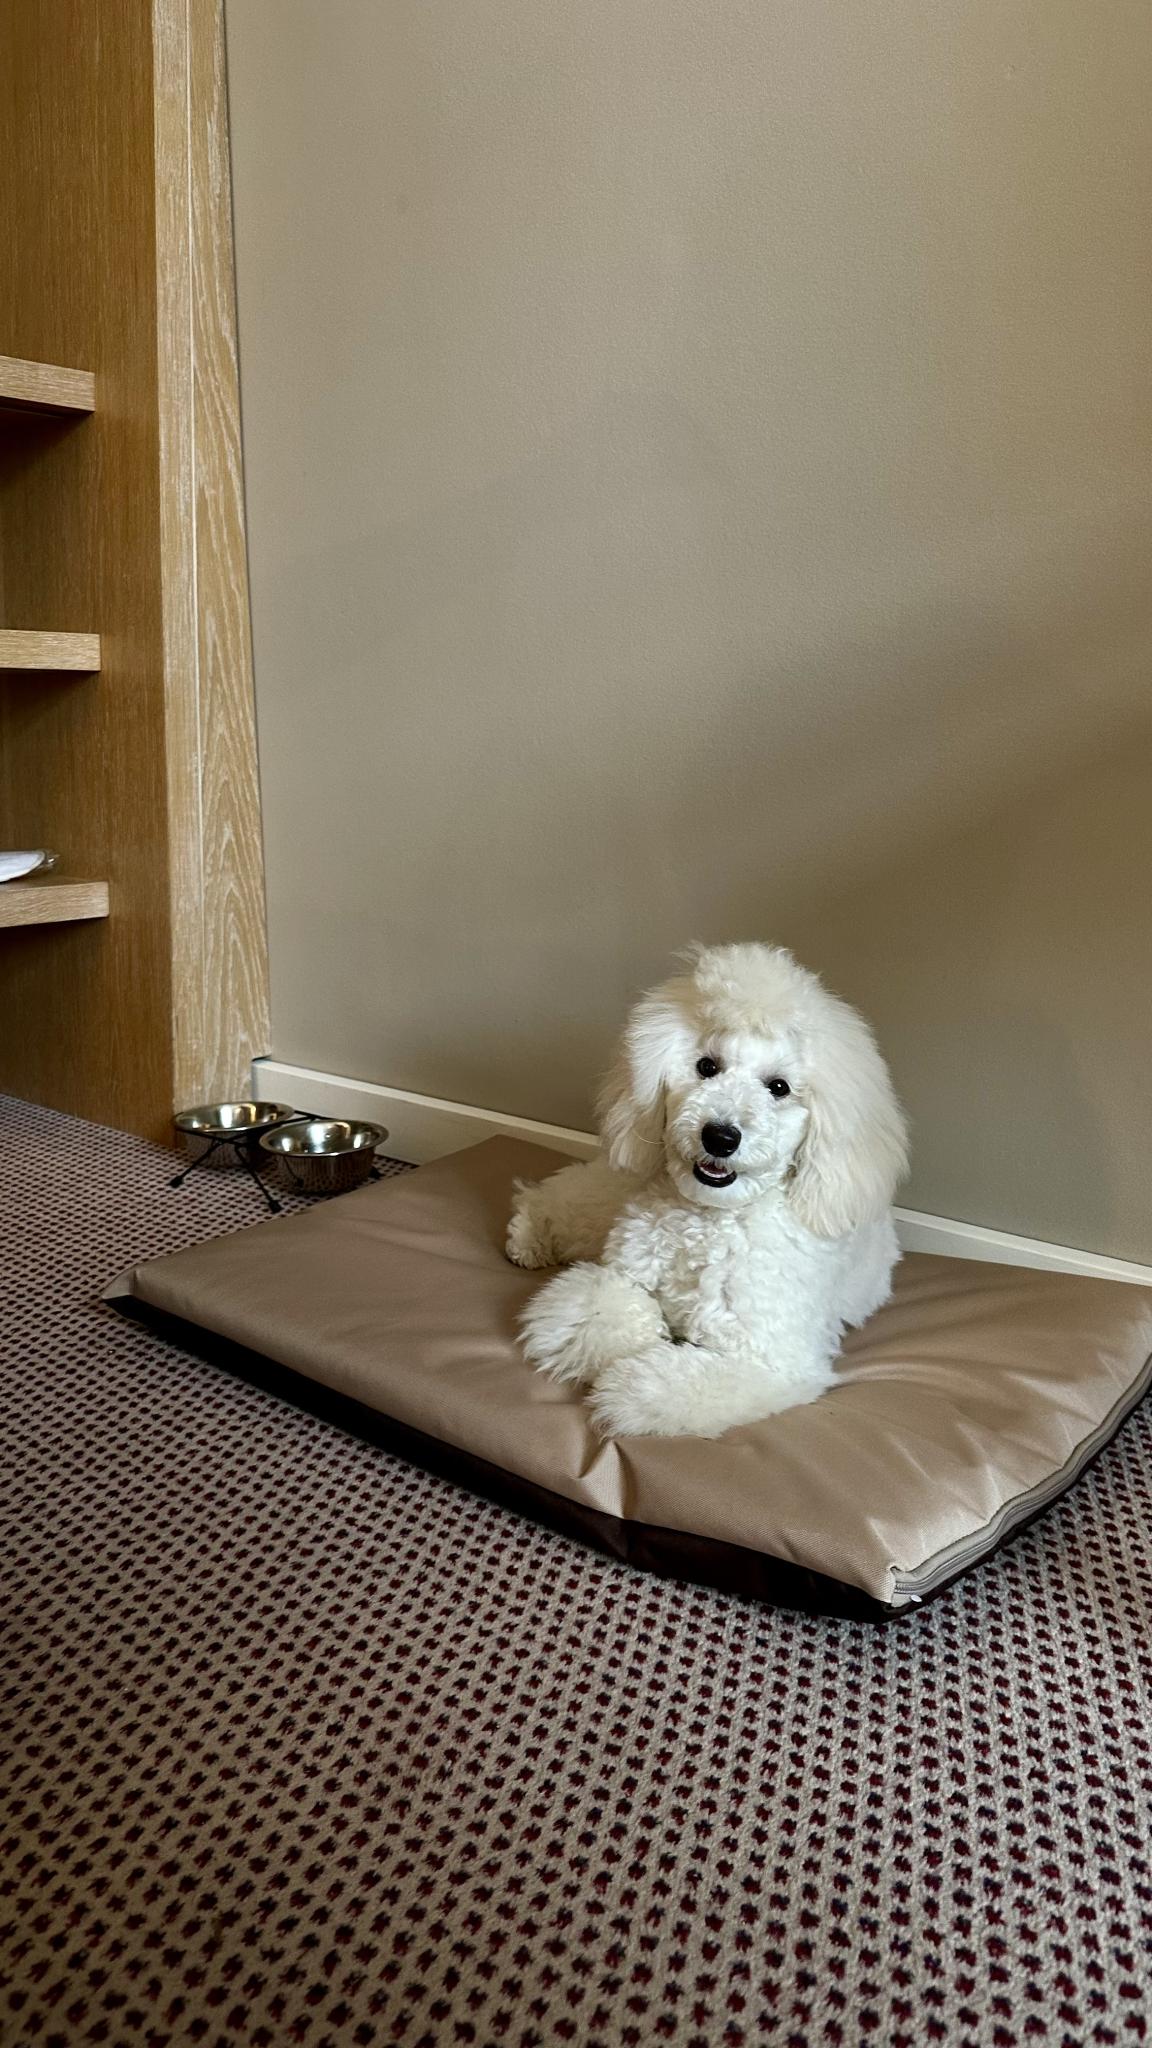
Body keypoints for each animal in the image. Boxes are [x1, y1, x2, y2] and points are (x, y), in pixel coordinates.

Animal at [506, 943, 908, 1439]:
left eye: (779, 1087)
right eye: (707, 1067)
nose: (720, 1136)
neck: (710, 1219)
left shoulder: (770, 1361)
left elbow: (669, 1383)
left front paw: (623, 1389)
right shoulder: (619, 1277)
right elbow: (599, 1310)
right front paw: (644, 1338)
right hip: (610, 1199)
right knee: (558, 1196)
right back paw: (528, 1235)